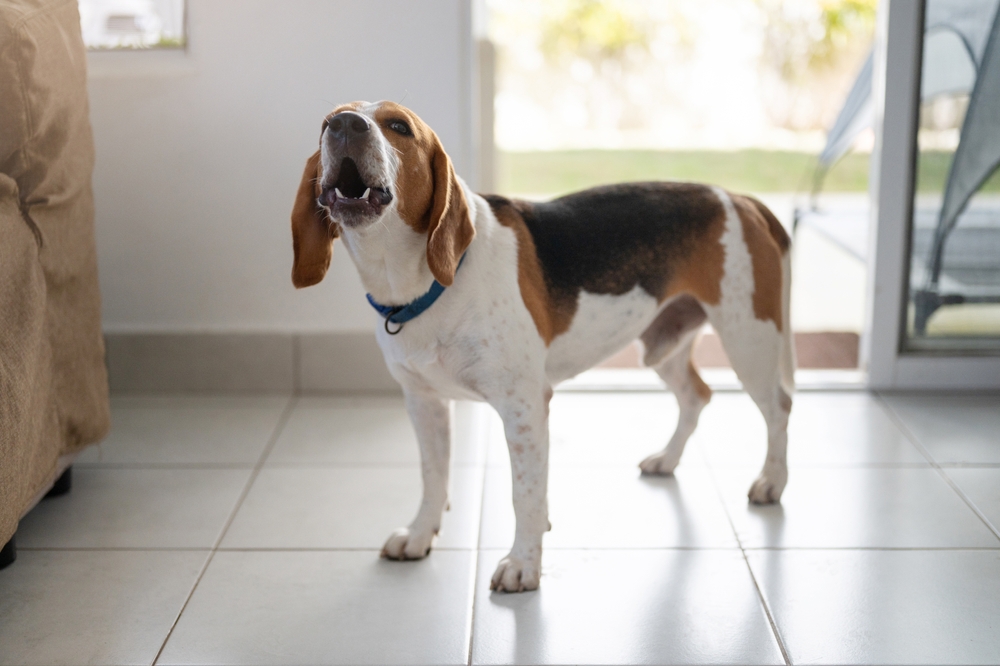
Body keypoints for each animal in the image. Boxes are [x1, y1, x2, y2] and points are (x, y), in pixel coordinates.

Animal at [292, 100, 796, 592]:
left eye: (398, 126)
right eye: (326, 123)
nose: (344, 125)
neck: (422, 284)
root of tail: (739, 198)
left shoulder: (524, 408)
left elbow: (525, 493)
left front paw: (523, 564)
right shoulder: (424, 402)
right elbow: (433, 476)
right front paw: (419, 534)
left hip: (749, 339)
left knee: (778, 407)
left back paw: (771, 481)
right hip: (663, 343)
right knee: (697, 394)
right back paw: (667, 458)